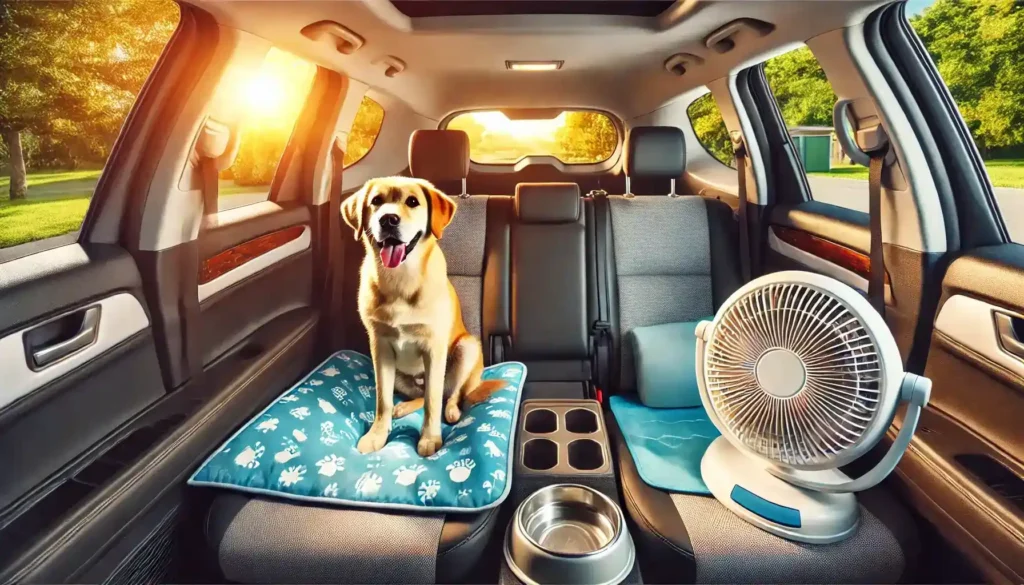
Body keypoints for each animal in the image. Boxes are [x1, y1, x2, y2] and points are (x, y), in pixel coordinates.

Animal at [342, 175, 505, 456]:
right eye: (376, 201)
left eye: (412, 202)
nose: (388, 219)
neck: (400, 282)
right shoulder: (380, 348)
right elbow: (383, 400)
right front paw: (377, 435)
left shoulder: (434, 348)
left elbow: (432, 401)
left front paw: (430, 438)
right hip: (399, 374)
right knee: (418, 394)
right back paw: (404, 406)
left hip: (466, 348)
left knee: (449, 394)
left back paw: (452, 411)